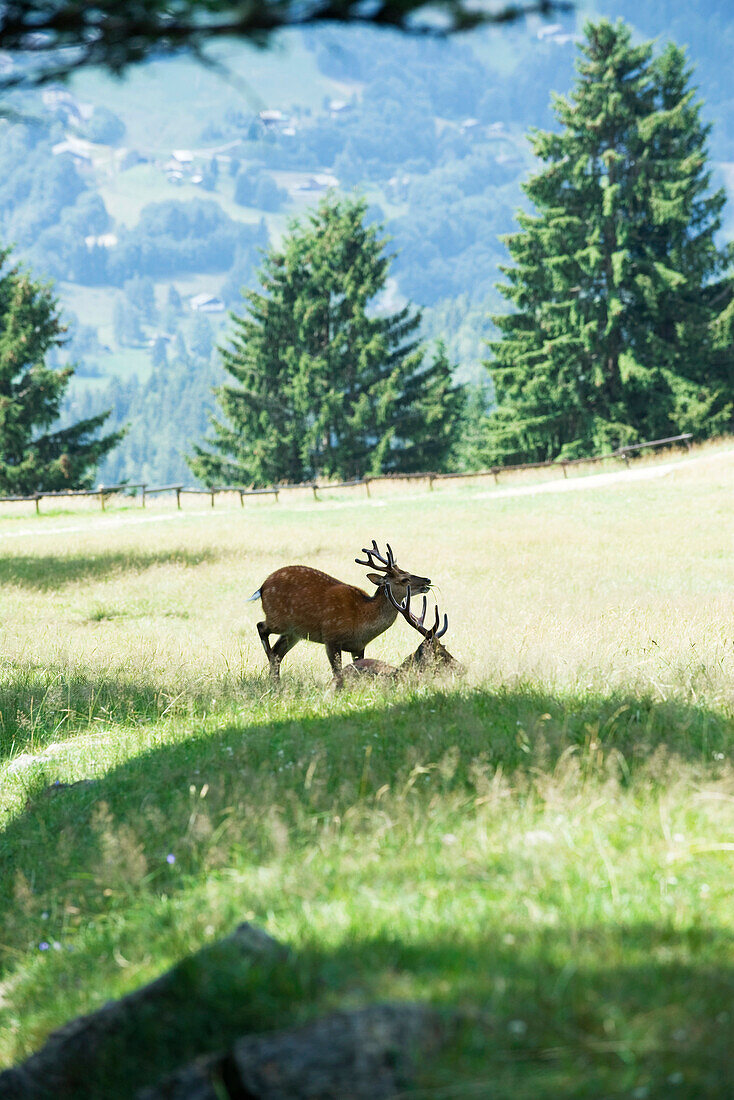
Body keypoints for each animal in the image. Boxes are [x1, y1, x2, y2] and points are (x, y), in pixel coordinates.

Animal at [250, 543, 431, 686]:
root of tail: (262, 587)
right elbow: (337, 672)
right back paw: (269, 662)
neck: (362, 618)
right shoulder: (331, 637)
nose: (427, 580)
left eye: (408, 571)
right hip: (278, 618)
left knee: (278, 652)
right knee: (261, 627)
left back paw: (275, 682)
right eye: (404, 579)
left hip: (294, 632)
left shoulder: (359, 646)